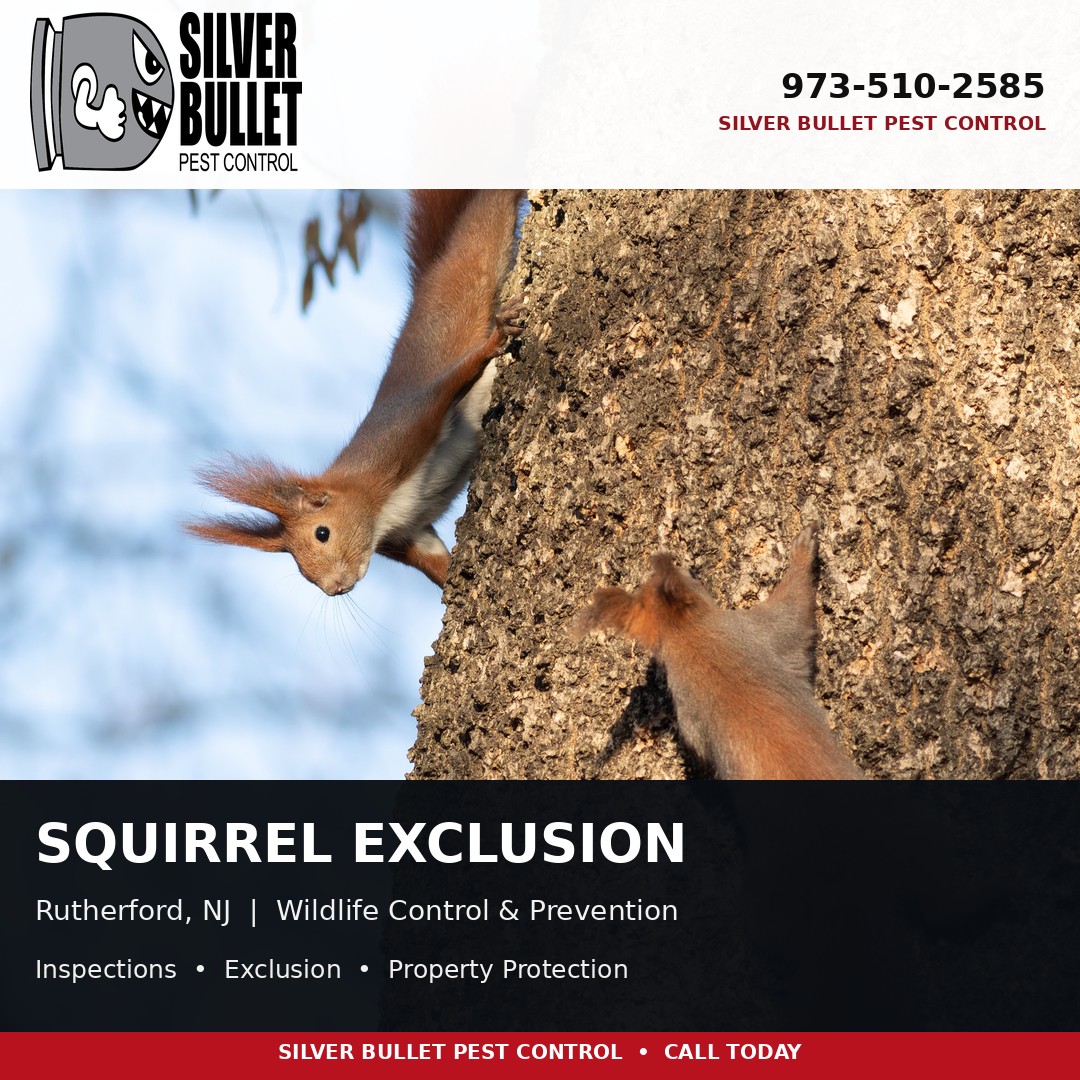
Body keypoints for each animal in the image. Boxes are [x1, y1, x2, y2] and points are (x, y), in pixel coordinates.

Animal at [186, 189, 524, 593]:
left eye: (322, 533)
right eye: (299, 567)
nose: (334, 587)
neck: (378, 507)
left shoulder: (407, 427)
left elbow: (453, 380)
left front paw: (495, 341)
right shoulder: (409, 534)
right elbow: (438, 563)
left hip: (477, 255)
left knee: (488, 213)